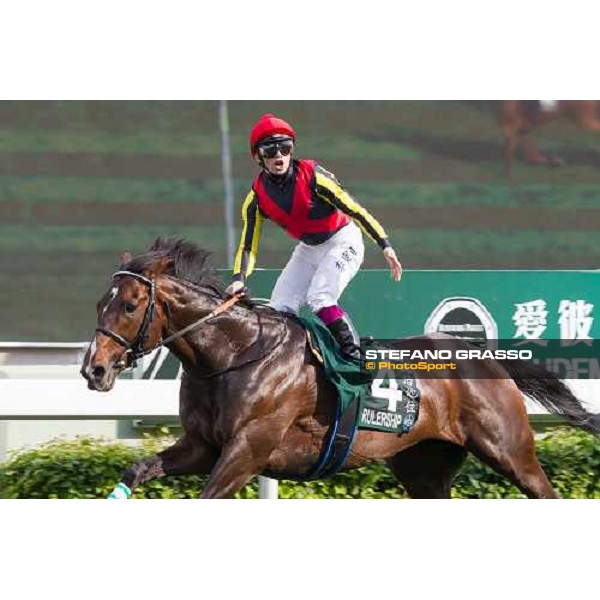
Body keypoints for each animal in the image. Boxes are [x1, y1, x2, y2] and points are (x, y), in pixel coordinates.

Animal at [82, 238, 600, 496]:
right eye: (99, 302)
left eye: (129, 305)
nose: (94, 370)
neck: (233, 356)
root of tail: (486, 357)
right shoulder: (202, 446)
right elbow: (136, 469)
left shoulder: (247, 449)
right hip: (423, 467)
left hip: (510, 451)